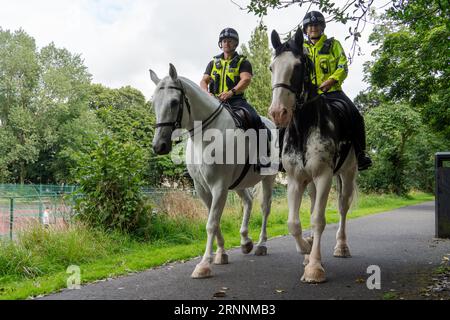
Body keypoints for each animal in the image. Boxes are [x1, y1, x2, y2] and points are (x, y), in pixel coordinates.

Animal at [150, 64, 278, 278]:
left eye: (174, 102)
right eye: (153, 103)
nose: (159, 146)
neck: (206, 135)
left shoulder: (219, 186)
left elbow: (211, 223)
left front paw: (203, 265)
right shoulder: (202, 188)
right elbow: (215, 220)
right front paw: (220, 254)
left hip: (268, 178)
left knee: (265, 207)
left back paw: (261, 244)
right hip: (238, 183)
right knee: (248, 202)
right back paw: (246, 242)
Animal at [268, 28, 358, 282]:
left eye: (298, 66)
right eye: (272, 67)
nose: (278, 113)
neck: (304, 127)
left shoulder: (324, 176)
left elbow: (319, 220)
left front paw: (315, 268)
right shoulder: (295, 180)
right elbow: (293, 222)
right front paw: (307, 250)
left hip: (347, 174)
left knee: (343, 207)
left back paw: (341, 247)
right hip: (311, 184)